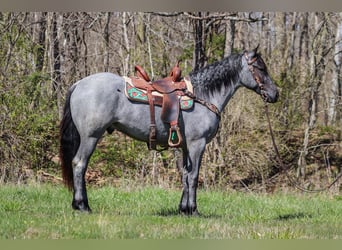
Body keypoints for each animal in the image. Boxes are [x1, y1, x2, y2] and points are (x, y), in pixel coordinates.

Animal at [59, 46, 278, 215]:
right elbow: (194, 176)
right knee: (79, 164)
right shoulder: (197, 144)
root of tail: (79, 84)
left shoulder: (186, 146)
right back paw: (82, 206)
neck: (204, 95)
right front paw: (193, 210)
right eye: (260, 67)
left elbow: (185, 175)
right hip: (90, 136)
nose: (275, 94)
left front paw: (183, 209)